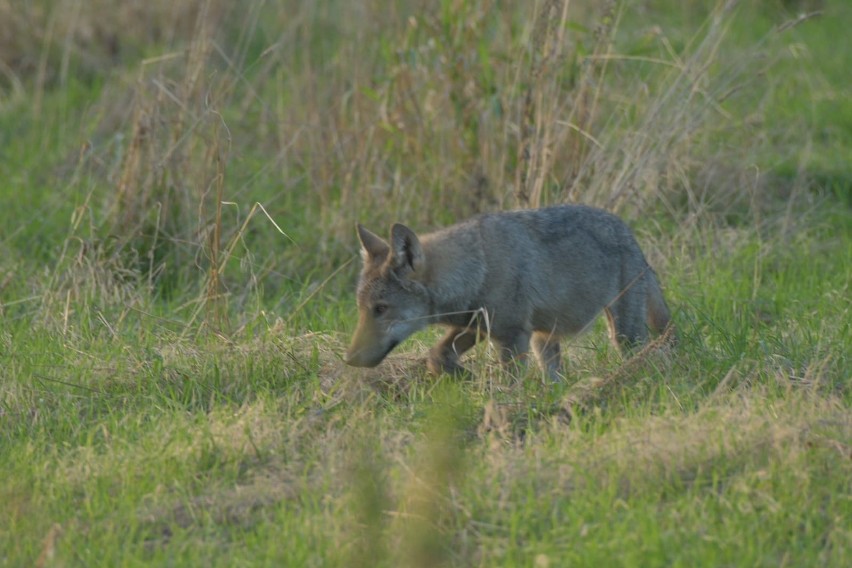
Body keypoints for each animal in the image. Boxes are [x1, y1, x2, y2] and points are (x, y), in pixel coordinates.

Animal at [344, 204, 672, 382]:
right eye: (361, 309)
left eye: (380, 309)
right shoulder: (476, 326)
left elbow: (509, 383)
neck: (476, 268)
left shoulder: (511, 335)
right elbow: (436, 357)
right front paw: (467, 378)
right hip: (544, 341)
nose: (349, 359)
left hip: (624, 336)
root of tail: (630, 235)